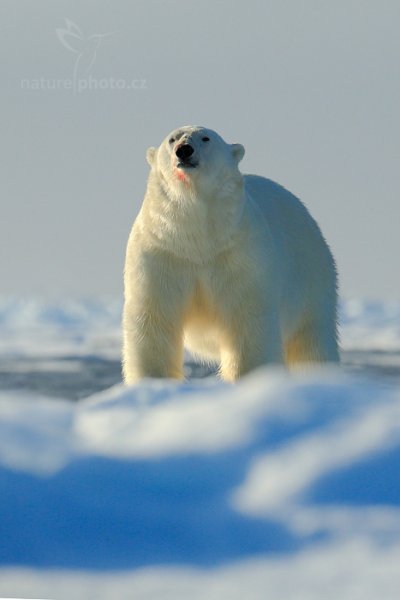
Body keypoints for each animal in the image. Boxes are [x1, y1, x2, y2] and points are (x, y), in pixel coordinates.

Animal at [121, 124, 338, 382]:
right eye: (172, 139)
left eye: (206, 138)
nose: (184, 150)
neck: (197, 238)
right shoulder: (162, 252)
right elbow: (154, 317)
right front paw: (154, 380)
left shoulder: (239, 254)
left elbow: (247, 320)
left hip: (311, 276)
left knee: (311, 340)